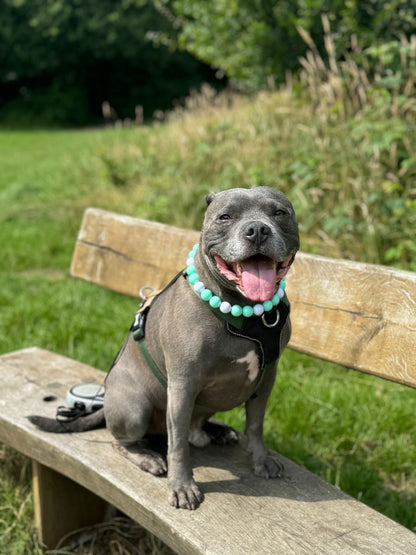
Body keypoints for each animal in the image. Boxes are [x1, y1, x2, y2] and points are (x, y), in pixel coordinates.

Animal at [30, 188, 300, 512]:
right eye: (225, 217)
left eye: (280, 213)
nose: (257, 229)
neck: (245, 313)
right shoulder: (182, 384)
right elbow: (178, 443)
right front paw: (182, 486)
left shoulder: (267, 376)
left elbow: (255, 425)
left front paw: (261, 460)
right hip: (134, 408)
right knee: (122, 440)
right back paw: (147, 458)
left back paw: (217, 431)